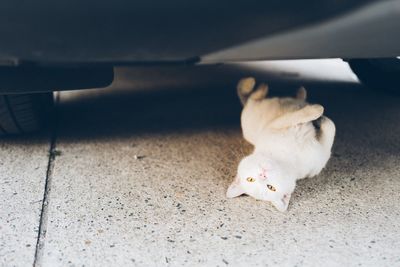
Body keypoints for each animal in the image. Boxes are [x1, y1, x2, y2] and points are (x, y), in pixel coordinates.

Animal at [227, 77, 336, 211]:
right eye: (271, 187)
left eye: (250, 179)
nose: (263, 174)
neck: (287, 158)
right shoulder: (277, 124)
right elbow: (327, 124)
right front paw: (318, 112)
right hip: (250, 114)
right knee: (251, 96)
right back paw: (259, 87)